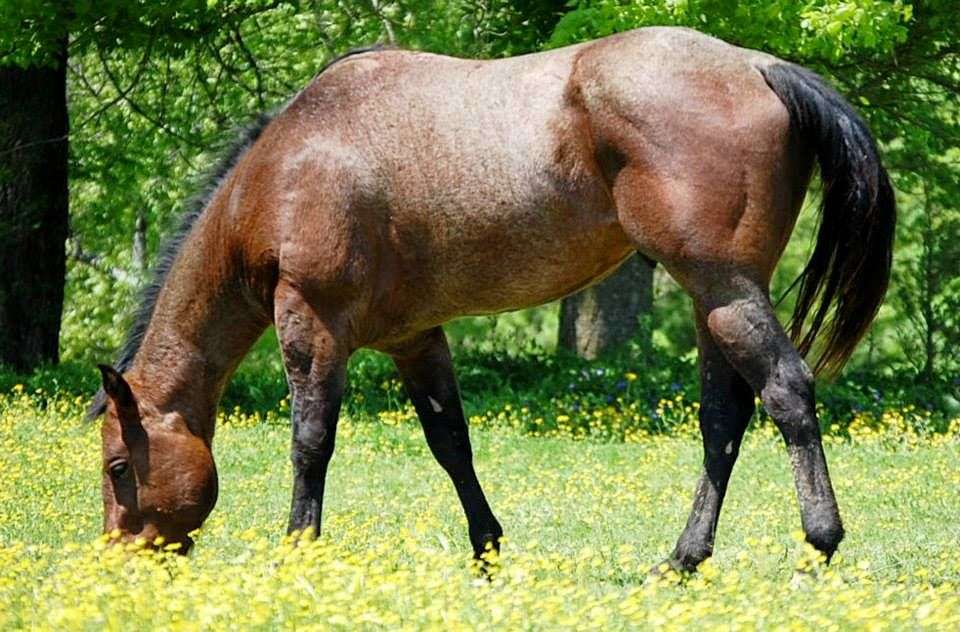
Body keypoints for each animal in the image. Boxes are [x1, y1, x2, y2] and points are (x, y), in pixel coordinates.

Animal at [90, 26, 895, 570]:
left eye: (119, 469)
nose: (121, 557)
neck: (288, 167)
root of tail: (760, 66)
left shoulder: (310, 324)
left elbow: (310, 441)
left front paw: (299, 550)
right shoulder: (415, 337)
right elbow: (451, 441)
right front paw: (486, 551)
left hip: (724, 289)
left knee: (787, 392)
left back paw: (819, 546)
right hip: (713, 300)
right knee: (723, 420)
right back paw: (682, 560)